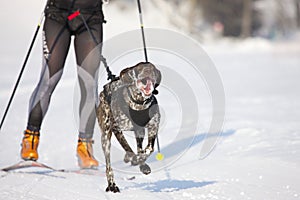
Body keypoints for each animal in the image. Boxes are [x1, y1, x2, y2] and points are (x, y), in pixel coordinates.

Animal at [96, 61, 162, 192]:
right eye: (139, 68)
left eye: (152, 68)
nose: (148, 70)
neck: (139, 103)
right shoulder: (116, 129)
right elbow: (128, 148)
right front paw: (133, 158)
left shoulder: (152, 126)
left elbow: (148, 149)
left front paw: (140, 160)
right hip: (106, 137)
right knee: (109, 166)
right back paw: (112, 185)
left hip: (139, 131)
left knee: (139, 148)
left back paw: (142, 164)